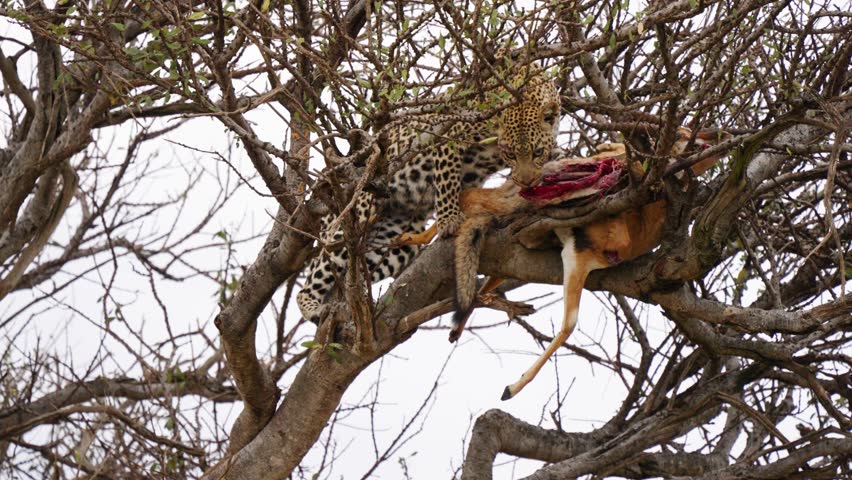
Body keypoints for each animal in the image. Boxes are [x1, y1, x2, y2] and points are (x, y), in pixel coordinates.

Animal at [296, 69, 561, 323]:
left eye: (537, 152)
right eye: (510, 154)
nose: (526, 181)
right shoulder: (448, 137)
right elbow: (447, 182)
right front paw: (448, 222)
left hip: (392, 238)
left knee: (360, 269)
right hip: (352, 218)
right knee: (316, 274)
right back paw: (313, 308)